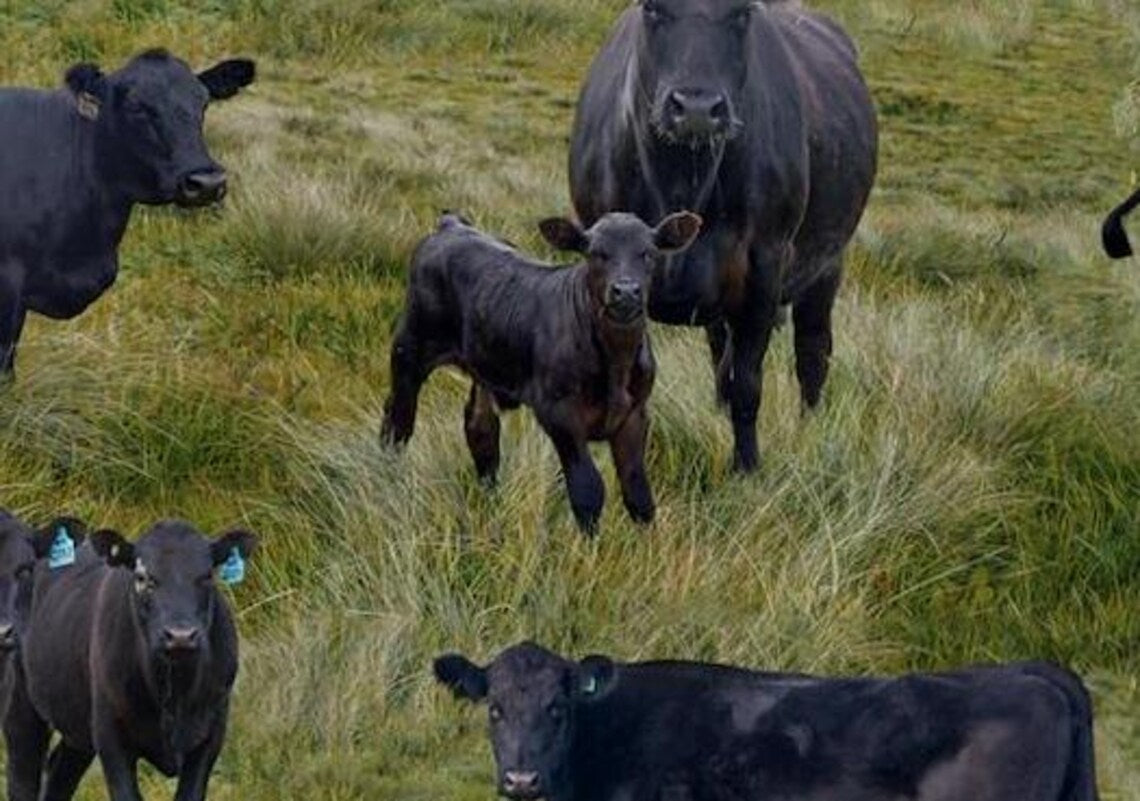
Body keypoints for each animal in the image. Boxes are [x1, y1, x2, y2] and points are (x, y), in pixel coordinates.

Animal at [8, 519, 257, 801]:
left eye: (207, 576)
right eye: (142, 578)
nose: (180, 636)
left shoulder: (210, 735)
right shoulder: (110, 736)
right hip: (22, 705)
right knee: (22, 779)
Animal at [380, 210, 701, 534]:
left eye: (648, 253)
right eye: (595, 254)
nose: (625, 292)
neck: (616, 364)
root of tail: (452, 226)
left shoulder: (635, 413)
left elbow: (638, 492)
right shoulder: (557, 411)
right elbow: (588, 488)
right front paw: (589, 544)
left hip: (483, 365)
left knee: (480, 429)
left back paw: (492, 502)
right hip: (409, 347)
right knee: (398, 421)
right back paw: (390, 478)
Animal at [568, 0, 878, 472]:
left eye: (742, 12)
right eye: (652, 9)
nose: (696, 108)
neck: (681, 180)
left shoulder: (767, 264)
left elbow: (748, 381)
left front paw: (747, 467)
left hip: (827, 265)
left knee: (813, 350)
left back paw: (810, 431)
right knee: (720, 350)